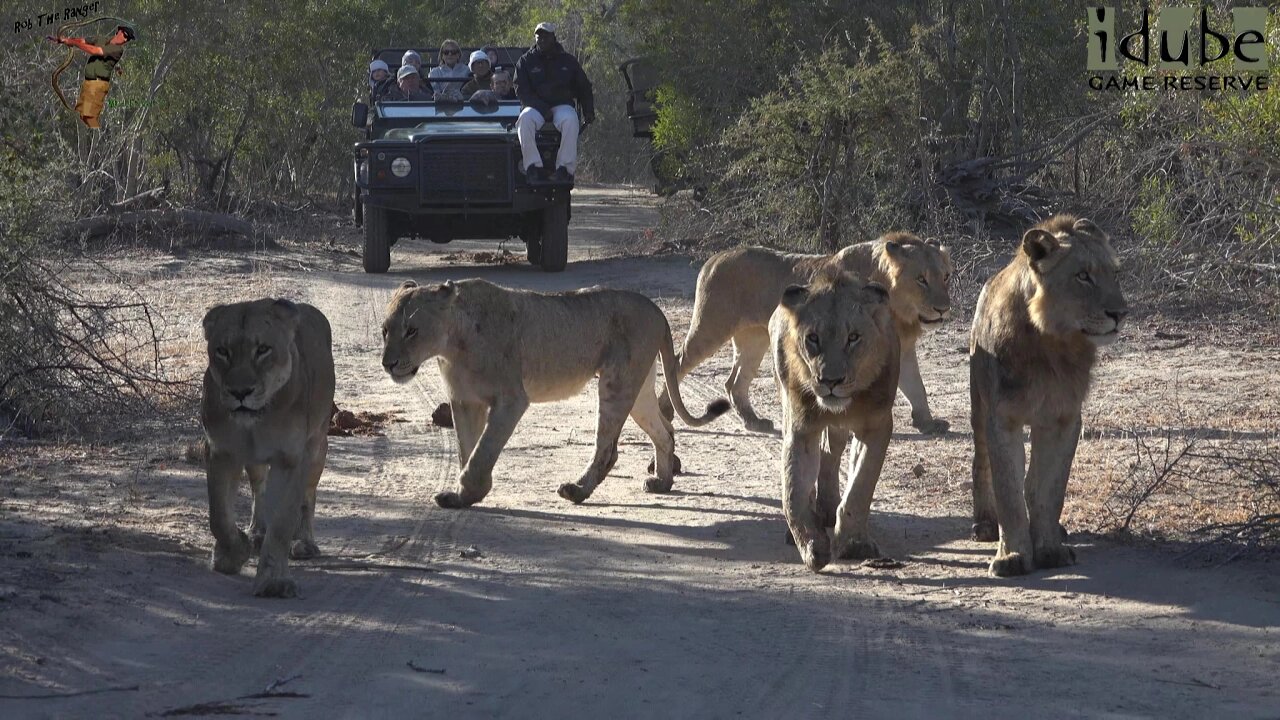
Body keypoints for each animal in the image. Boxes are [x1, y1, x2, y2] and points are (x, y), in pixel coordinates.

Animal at [199, 294, 335, 597]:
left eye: (262, 349)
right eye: (222, 351)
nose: (240, 392)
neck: (256, 421)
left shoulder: (290, 458)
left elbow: (283, 522)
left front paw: (273, 581)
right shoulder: (222, 452)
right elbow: (218, 515)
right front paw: (232, 553)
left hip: (317, 447)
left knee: (308, 497)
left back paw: (304, 543)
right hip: (255, 461)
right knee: (258, 490)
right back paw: (256, 533)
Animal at [376, 278, 732, 507]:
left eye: (412, 330)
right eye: (385, 331)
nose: (387, 363)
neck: (451, 346)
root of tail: (655, 309)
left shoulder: (511, 400)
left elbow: (482, 451)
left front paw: (471, 492)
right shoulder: (464, 402)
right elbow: (467, 449)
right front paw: (461, 495)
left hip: (616, 382)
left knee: (608, 448)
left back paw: (578, 491)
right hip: (639, 387)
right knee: (665, 431)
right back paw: (662, 482)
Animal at [660, 233, 952, 430]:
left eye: (946, 277)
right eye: (921, 279)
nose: (944, 309)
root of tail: (715, 257)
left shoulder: (900, 347)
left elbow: (917, 386)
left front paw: (927, 422)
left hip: (754, 339)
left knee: (734, 381)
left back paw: (754, 422)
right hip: (711, 327)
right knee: (677, 362)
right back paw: (665, 411)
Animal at [768, 266, 901, 568]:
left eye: (853, 338)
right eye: (813, 338)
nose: (831, 381)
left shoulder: (876, 426)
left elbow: (860, 487)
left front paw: (853, 544)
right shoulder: (801, 428)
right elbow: (793, 492)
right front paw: (811, 546)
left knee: (832, 452)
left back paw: (829, 510)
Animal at [967, 213, 1131, 576]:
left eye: (1114, 274)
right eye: (1082, 276)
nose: (1120, 314)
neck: (1053, 344)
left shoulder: (1064, 419)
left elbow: (1048, 490)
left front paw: (1049, 549)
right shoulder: (1002, 419)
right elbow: (1009, 492)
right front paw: (1013, 556)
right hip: (978, 407)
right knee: (981, 461)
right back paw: (985, 524)